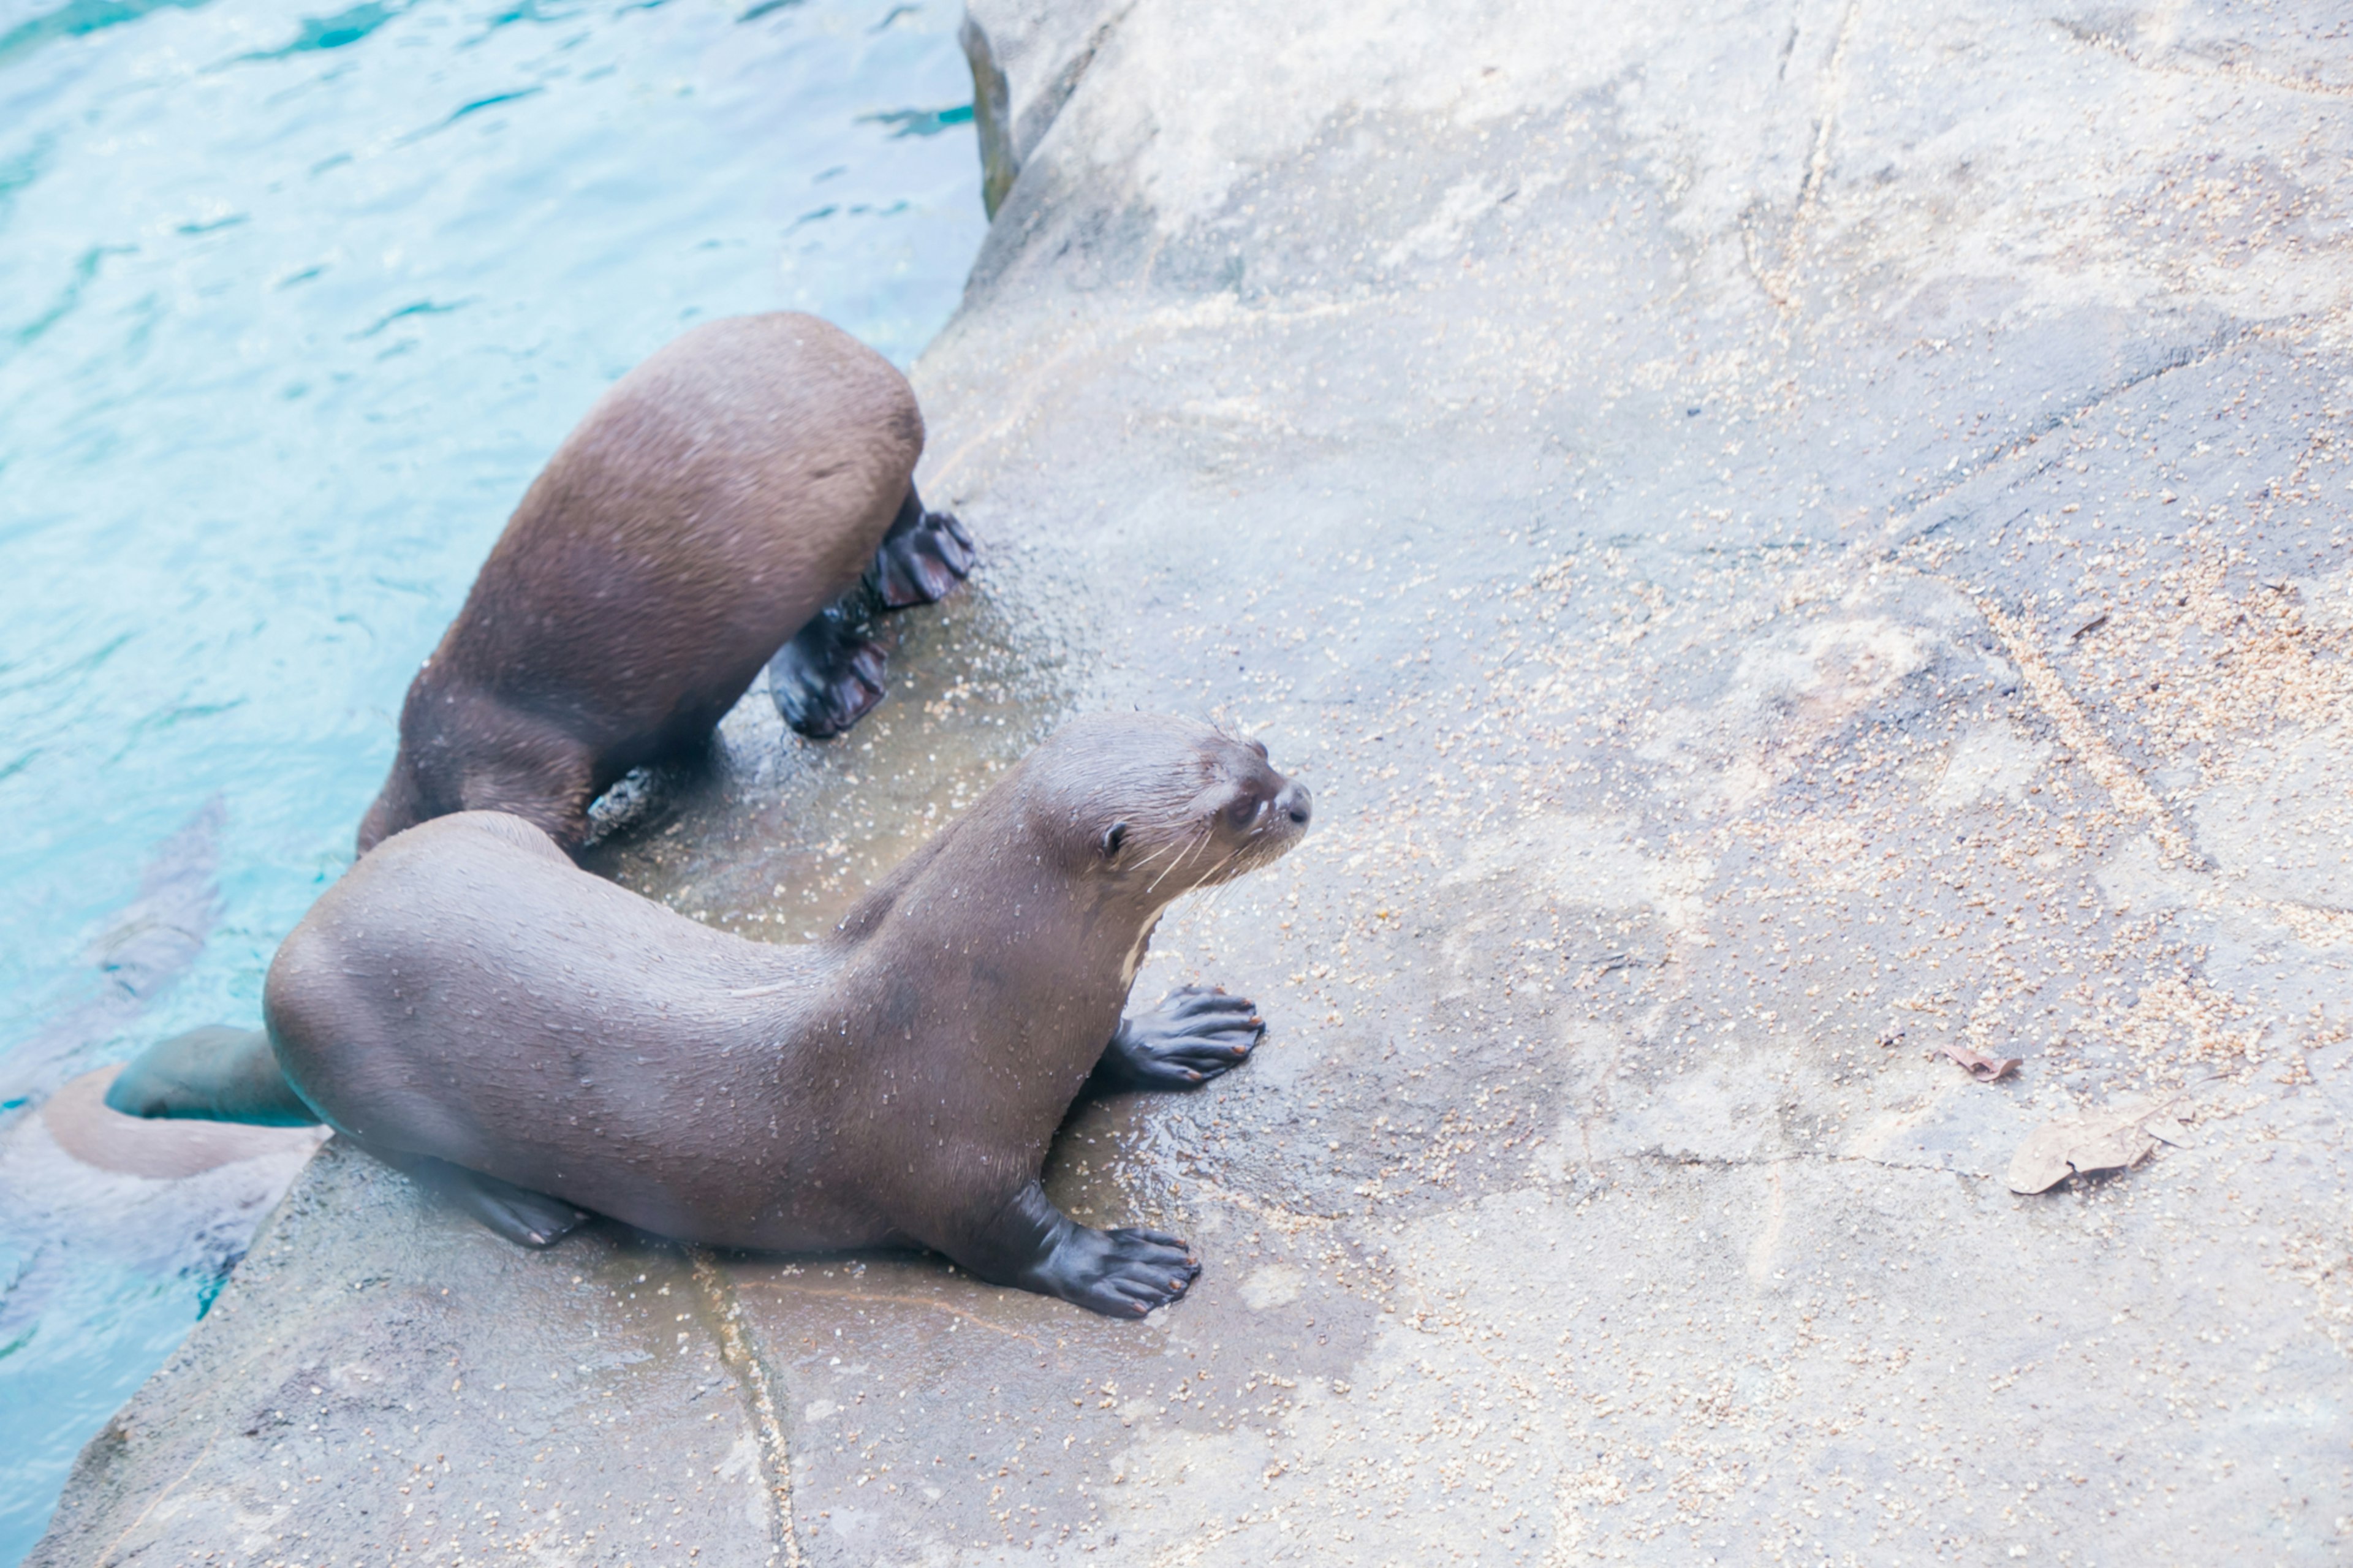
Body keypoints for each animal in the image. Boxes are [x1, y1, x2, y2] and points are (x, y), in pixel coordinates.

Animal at [110, 716, 1308, 1309]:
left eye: (1255, 742)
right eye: (1232, 807)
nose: (1300, 795)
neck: (989, 1001)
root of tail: (291, 948)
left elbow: (1109, 1052)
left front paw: (1174, 1030)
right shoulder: (940, 1155)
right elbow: (1002, 1235)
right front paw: (1112, 1265)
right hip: (346, 1050)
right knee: (409, 1156)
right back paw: (526, 1209)